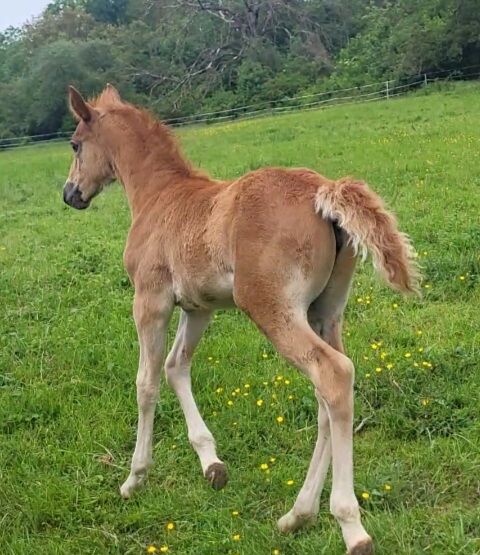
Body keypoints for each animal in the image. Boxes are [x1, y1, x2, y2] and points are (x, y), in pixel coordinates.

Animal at [64, 84, 420, 552]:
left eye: (74, 144)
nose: (70, 194)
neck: (158, 196)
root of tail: (324, 189)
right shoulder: (199, 307)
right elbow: (176, 366)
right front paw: (211, 463)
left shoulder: (150, 300)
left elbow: (146, 382)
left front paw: (134, 477)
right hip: (325, 312)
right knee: (329, 397)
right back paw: (297, 515)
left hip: (272, 308)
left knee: (333, 375)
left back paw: (350, 526)